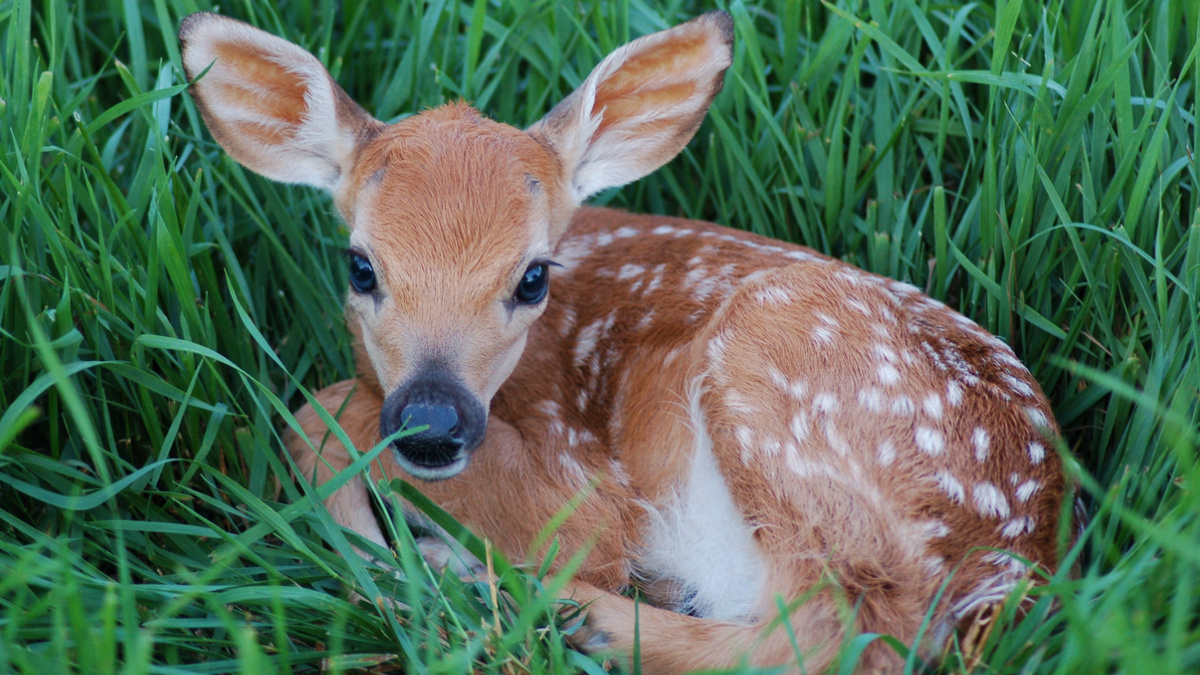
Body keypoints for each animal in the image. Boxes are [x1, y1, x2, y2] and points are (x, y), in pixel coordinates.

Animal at [184, 9, 1070, 667]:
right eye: (360, 265)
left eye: (532, 277)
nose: (432, 424)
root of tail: (1020, 555)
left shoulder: (583, 481)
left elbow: (323, 409)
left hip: (780, 371)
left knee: (836, 632)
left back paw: (544, 603)